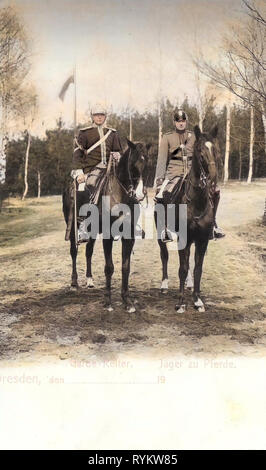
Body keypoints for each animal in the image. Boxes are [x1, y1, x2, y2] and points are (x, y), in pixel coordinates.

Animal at [62, 141, 150, 314]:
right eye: (132, 164)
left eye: (147, 163)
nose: (140, 194)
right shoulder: (108, 235)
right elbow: (109, 267)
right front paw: (108, 301)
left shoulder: (129, 236)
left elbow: (125, 267)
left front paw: (127, 301)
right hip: (74, 228)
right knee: (74, 252)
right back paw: (74, 283)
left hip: (92, 231)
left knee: (88, 251)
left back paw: (89, 280)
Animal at [155, 126, 219, 314]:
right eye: (200, 150)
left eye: (215, 149)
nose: (213, 177)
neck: (196, 201)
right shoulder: (183, 238)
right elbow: (182, 269)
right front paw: (181, 302)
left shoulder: (202, 240)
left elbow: (197, 269)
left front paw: (197, 300)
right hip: (161, 234)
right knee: (164, 255)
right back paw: (164, 285)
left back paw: (190, 285)